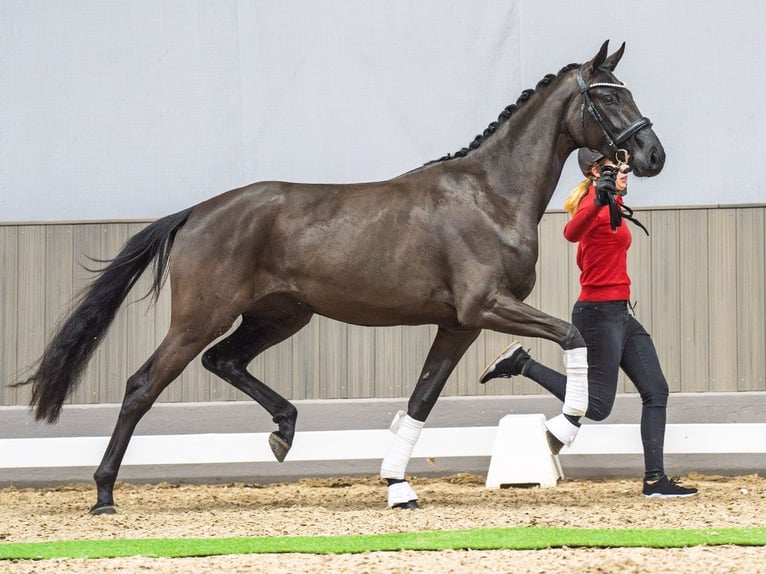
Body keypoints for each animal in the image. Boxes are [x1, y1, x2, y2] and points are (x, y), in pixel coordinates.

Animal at [19, 42, 664, 516]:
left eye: (628, 91)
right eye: (607, 97)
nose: (652, 155)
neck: (490, 196)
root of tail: (198, 212)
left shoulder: (458, 324)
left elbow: (421, 399)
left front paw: (398, 487)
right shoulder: (487, 307)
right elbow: (573, 336)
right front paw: (560, 429)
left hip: (282, 314)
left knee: (224, 361)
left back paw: (283, 432)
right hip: (200, 318)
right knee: (142, 385)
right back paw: (104, 494)